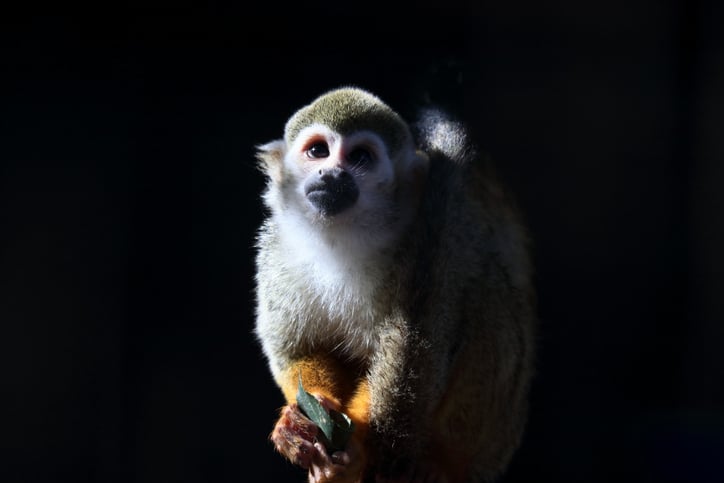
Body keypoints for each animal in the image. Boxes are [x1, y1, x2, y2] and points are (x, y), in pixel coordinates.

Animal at [253, 86, 536, 483]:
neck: (344, 237)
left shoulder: (431, 241)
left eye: (359, 157)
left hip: (496, 432)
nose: (331, 173)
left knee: (487, 294)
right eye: (317, 151)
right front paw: (301, 422)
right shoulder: (276, 251)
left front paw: (356, 451)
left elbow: (419, 356)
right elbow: (295, 349)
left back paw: (440, 465)